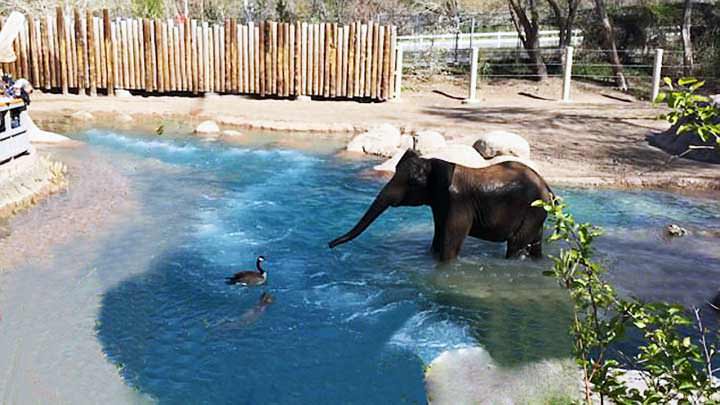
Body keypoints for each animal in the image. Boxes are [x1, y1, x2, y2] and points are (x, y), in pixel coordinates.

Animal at [328, 150, 553, 261]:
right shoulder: (440, 203)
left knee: (515, 245)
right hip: (537, 213)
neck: (435, 162)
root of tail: (547, 188)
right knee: (534, 244)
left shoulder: (459, 203)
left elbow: (450, 244)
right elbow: (438, 236)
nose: (329, 245)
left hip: (533, 209)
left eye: (413, 182)